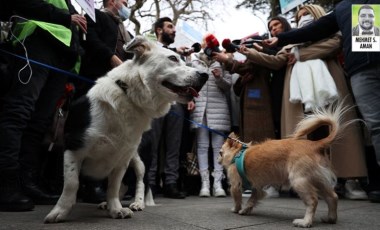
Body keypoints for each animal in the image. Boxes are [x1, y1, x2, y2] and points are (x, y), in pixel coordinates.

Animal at [44, 36, 208, 223]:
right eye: (173, 58)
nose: (205, 75)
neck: (129, 96)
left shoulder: (122, 158)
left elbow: (114, 185)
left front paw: (115, 208)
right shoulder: (74, 148)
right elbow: (72, 183)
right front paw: (61, 211)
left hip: (139, 158)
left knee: (141, 181)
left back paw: (137, 202)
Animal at [220, 103, 354, 228]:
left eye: (220, 153)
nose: (218, 159)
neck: (237, 154)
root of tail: (316, 144)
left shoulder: (235, 185)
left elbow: (237, 199)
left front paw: (236, 209)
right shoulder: (257, 188)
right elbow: (251, 200)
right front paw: (245, 210)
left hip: (299, 181)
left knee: (313, 201)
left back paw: (305, 222)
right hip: (319, 180)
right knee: (333, 197)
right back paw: (330, 218)